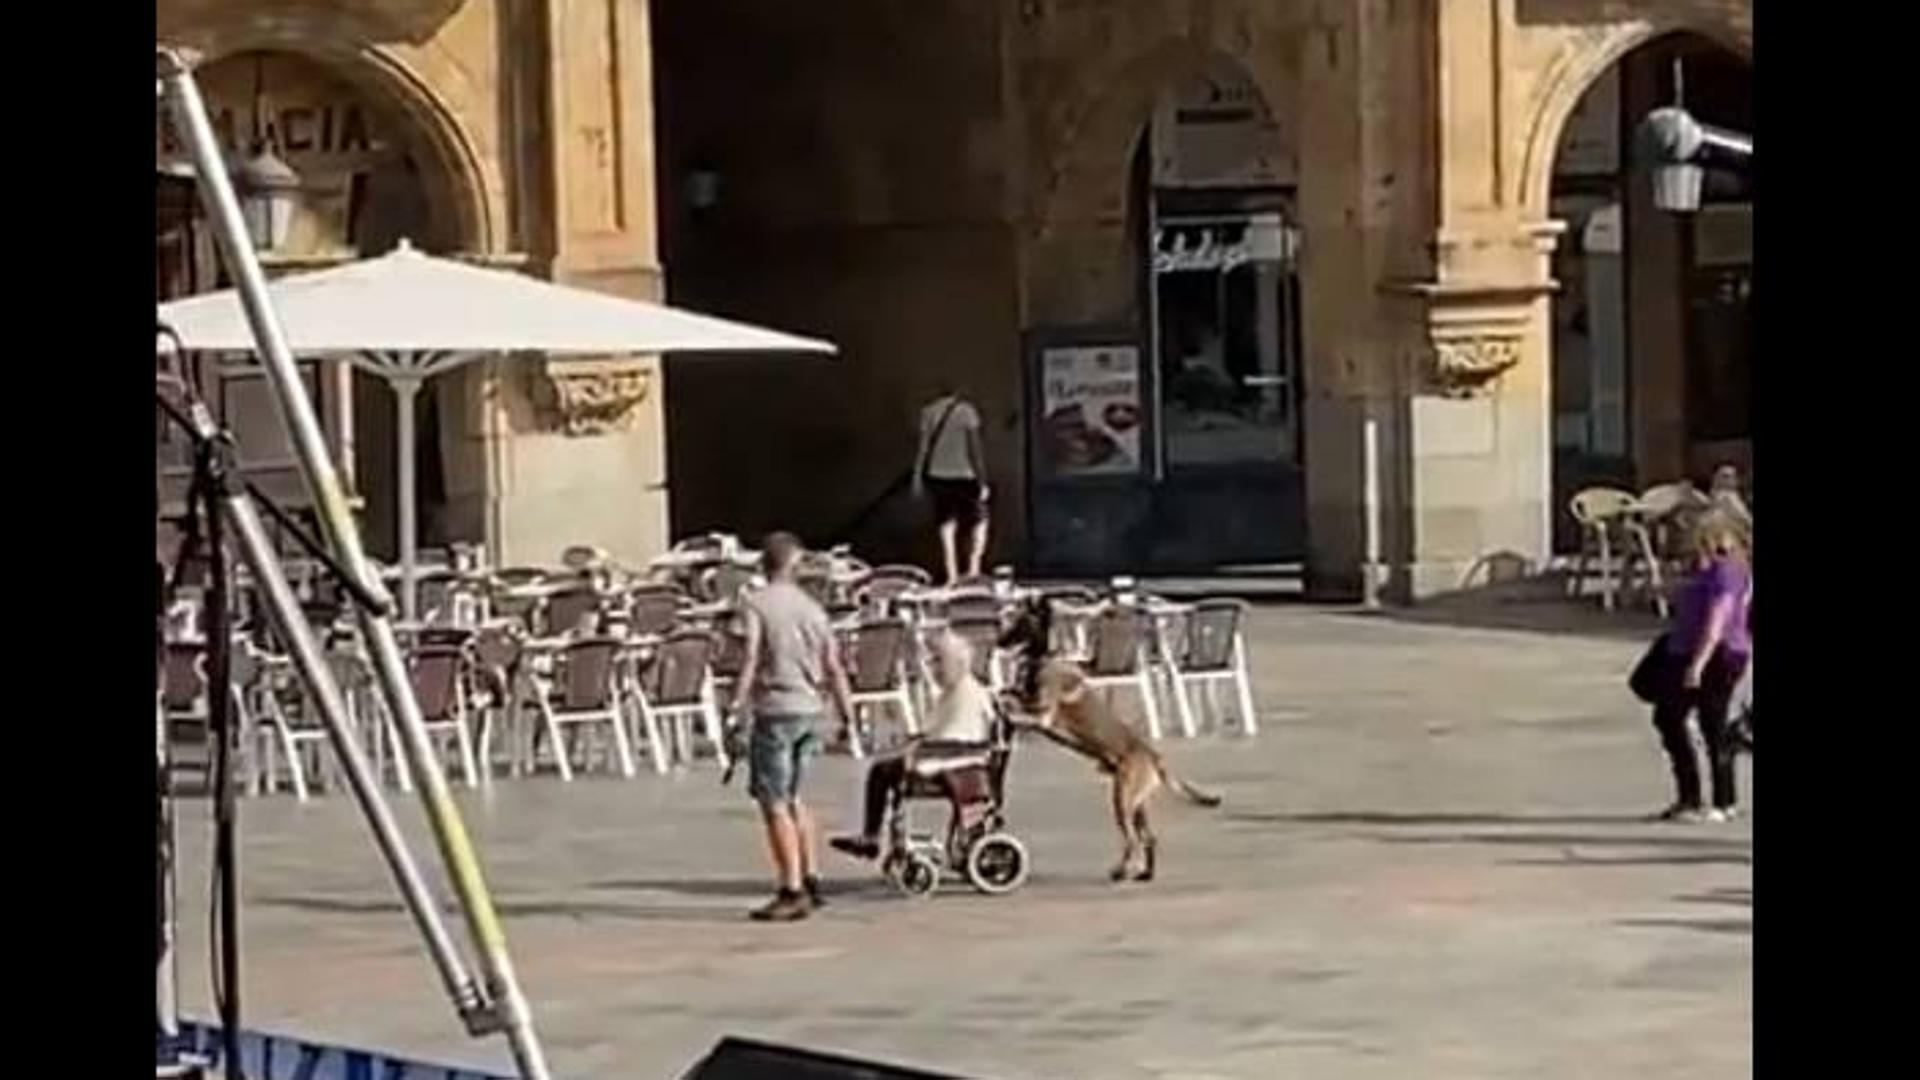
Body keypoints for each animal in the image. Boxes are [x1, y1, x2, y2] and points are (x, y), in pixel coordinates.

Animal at [998, 591, 1221, 880]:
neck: (1047, 655)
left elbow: (1017, 706)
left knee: (1133, 840)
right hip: (1138, 805)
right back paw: (1145, 873)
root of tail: (1154, 756)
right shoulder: (1029, 700)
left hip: (1122, 799)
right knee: (1149, 838)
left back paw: (1122, 870)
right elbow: (1010, 691)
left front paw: (1003, 709)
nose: (999, 640)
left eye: (1018, 619)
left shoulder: (1042, 714)